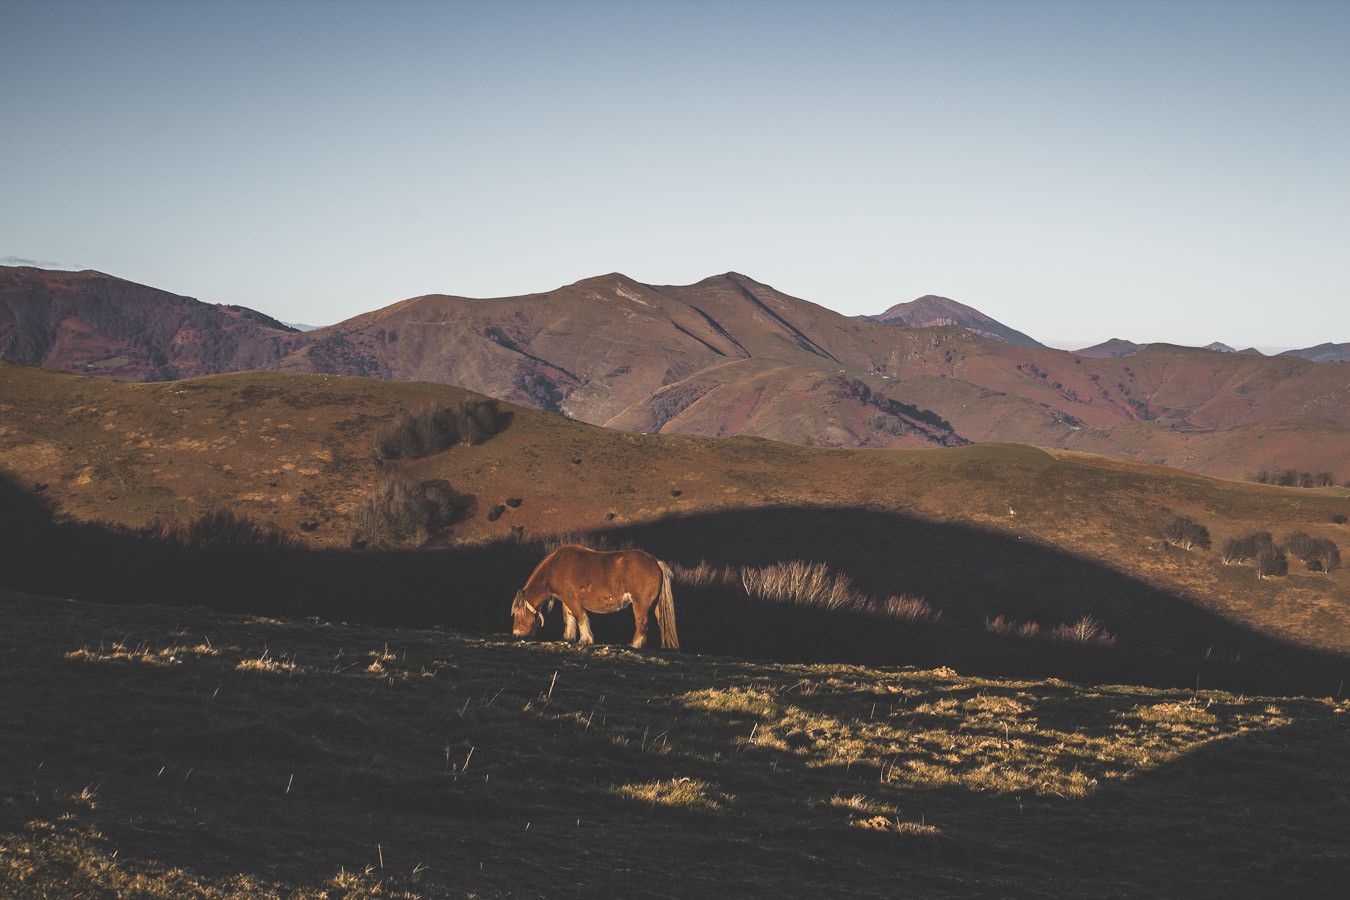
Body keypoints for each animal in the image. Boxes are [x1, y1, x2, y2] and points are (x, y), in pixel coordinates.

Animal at [507, 545, 680, 650]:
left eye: (517, 615)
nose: (516, 634)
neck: (554, 567)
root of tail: (656, 562)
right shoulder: (566, 600)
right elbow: (569, 618)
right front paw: (568, 638)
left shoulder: (572, 600)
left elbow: (580, 617)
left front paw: (585, 640)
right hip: (656, 605)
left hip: (640, 604)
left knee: (642, 623)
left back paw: (635, 645)